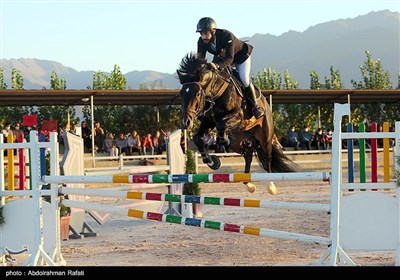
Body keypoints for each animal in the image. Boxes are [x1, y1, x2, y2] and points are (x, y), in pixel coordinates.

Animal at [176, 52, 296, 192]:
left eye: (197, 93)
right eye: (181, 93)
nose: (185, 122)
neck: (215, 91)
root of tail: (266, 105)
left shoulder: (237, 116)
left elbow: (221, 126)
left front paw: (224, 141)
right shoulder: (209, 121)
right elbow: (197, 138)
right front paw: (212, 162)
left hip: (265, 137)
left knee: (267, 157)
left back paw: (271, 185)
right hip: (240, 138)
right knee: (248, 153)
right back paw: (249, 184)